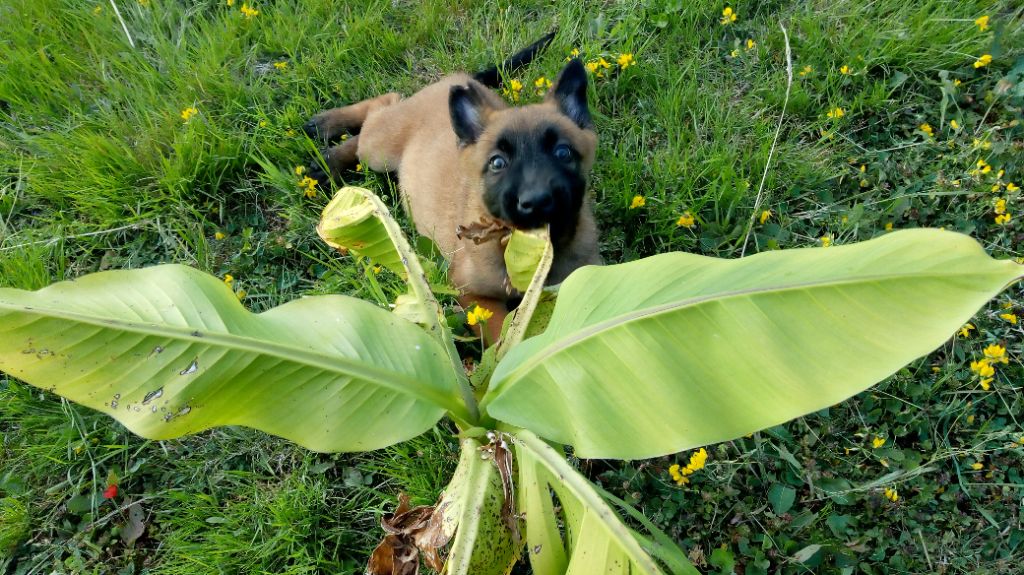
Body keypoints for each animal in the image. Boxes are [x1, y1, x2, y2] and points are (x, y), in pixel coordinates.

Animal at [301, 38, 598, 339]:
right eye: (497, 163)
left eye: (563, 152)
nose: (536, 201)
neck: (526, 249)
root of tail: (457, 78)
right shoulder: (472, 295)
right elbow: (499, 335)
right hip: (379, 150)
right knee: (382, 103)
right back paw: (329, 140)